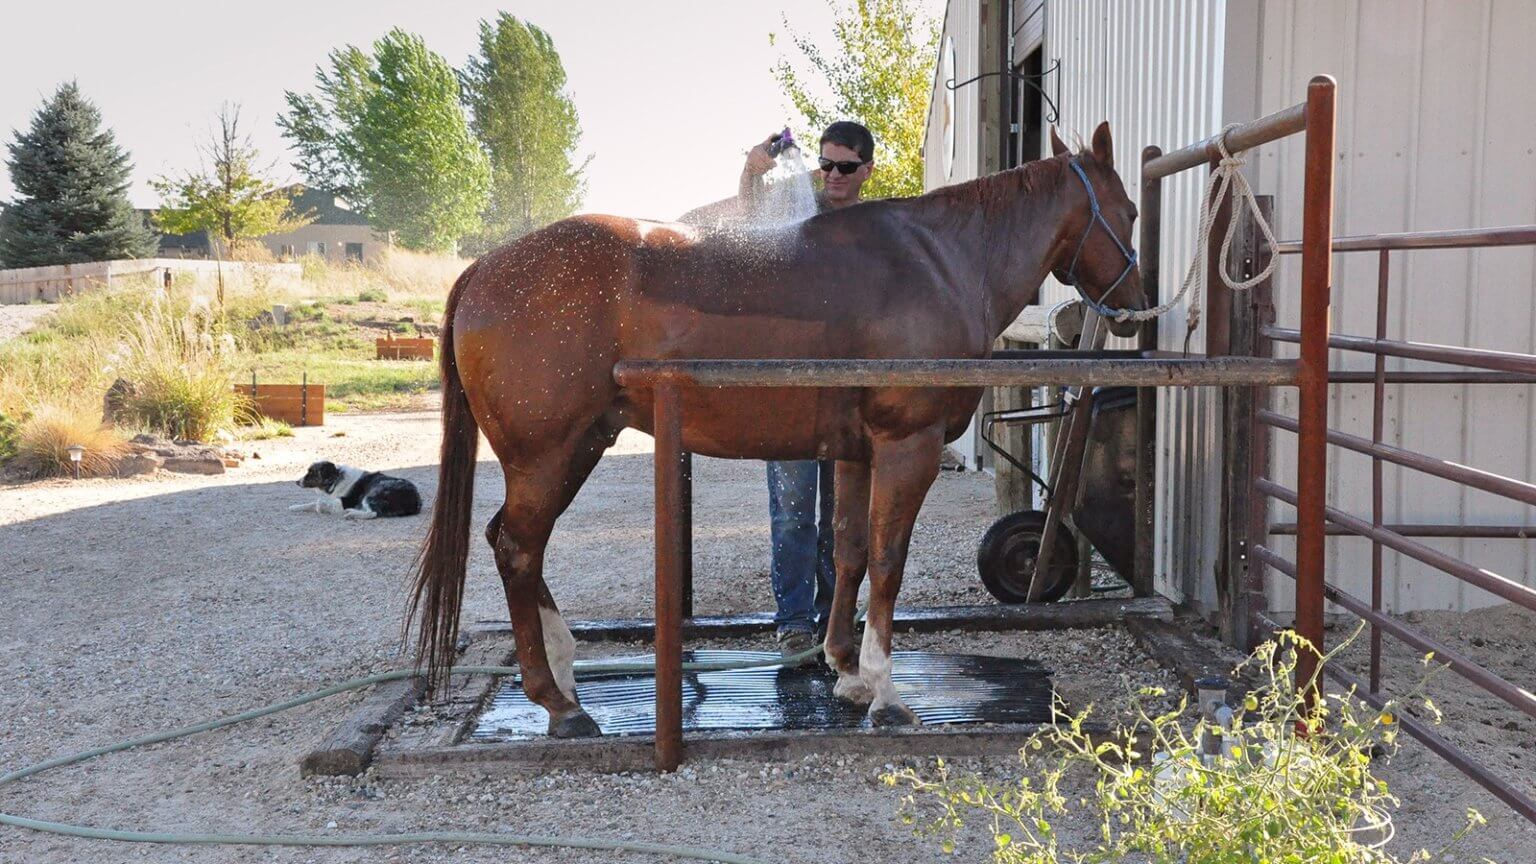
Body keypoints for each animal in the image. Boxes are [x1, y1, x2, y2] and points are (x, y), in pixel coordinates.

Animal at [290, 458, 423, 516]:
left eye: (311, 472)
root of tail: (416, 501)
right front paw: (294, 507)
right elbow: (310, 504)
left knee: (373, 513)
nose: (296, 482)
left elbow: (319, 503)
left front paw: (322, 507)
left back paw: (351, 513)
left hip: (372, 494)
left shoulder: (346, 501)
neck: (335, 480)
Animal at [408, 122, 1142, 731]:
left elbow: (848, 552)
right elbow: (888, 561)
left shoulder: (855, 453)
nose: (1136, 305)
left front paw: (845, 670)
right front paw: (885, 691)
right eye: (1130, 211)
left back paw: (563, 673)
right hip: (548, 455)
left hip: (578, 445)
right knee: (517, 548)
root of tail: (485, 269)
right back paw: (557, 703)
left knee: (514, 544)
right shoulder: (908, 446)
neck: (941, 259)